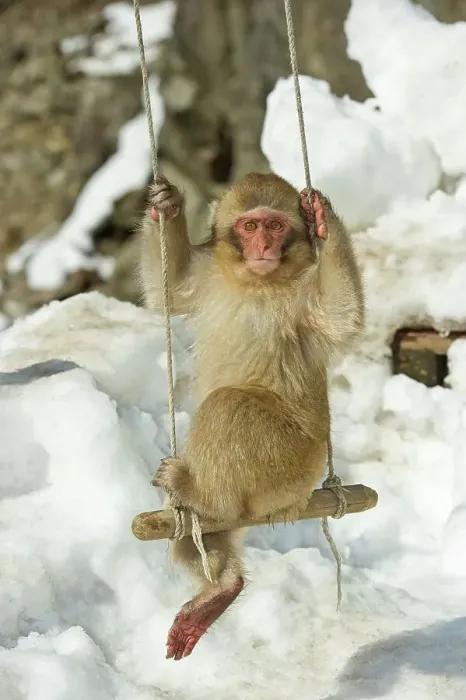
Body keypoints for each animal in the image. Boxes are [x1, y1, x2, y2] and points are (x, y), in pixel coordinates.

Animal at [139, 171, 364, 661]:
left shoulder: (305, 294)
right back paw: (219, 586)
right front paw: (167, 206)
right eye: (249, 226)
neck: (258, 283)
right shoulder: (208, 275)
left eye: (276, 226)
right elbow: (170, 293)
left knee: (229, 406)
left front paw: (325, 221)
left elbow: (341, 317)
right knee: (195, 532)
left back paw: (205, 497)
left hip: (293, 462)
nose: (263, 245)